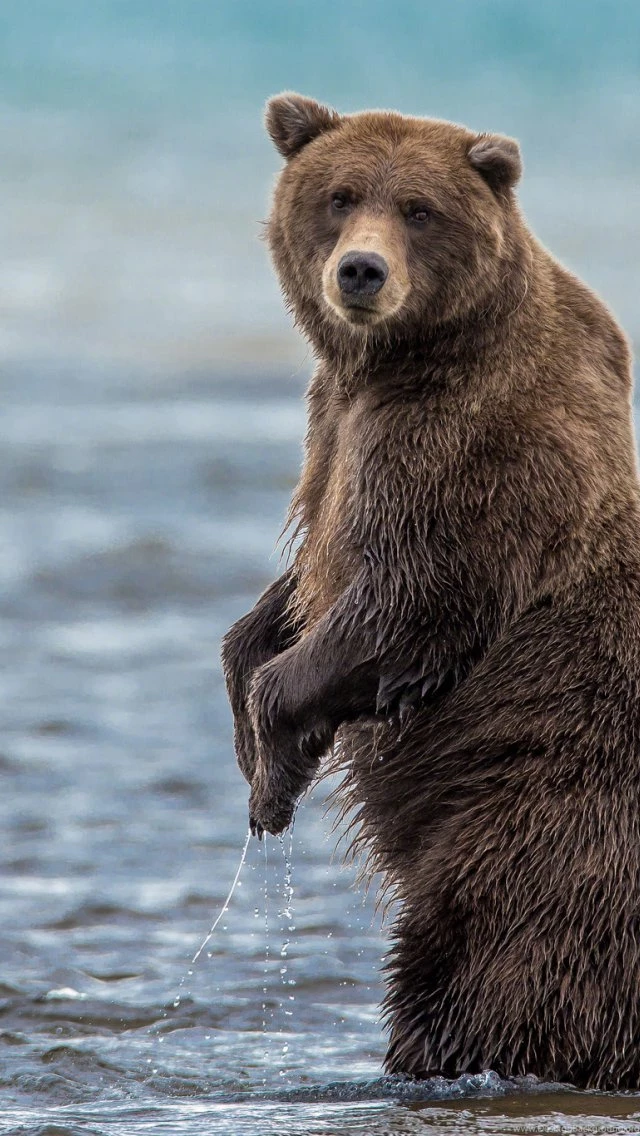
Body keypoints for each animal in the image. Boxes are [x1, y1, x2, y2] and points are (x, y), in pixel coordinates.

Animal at [221, 92, 640, 1090]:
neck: (398, 362)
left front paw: (276, 763)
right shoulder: (336, 429)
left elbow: (405, 601)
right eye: (339, 195)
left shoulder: (467, 451)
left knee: (481, 969)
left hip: (539, 829)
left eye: (419, 209)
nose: (360, 271)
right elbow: (296, 589)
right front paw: (254, 731)